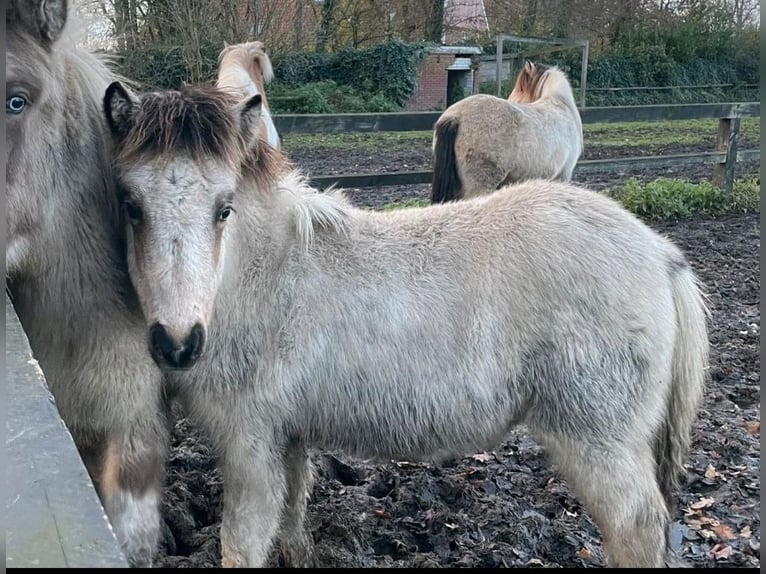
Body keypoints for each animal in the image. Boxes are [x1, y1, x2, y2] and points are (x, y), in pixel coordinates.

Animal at [105, 82, 712, 572]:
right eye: (131, 205)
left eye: (224, 208)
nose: (177, 343)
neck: (264, 275)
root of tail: (661, 254)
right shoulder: (288, 436)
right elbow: (292, 522)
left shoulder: (248, 443)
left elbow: (243, 542)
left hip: (597, 440)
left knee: (636, 529)